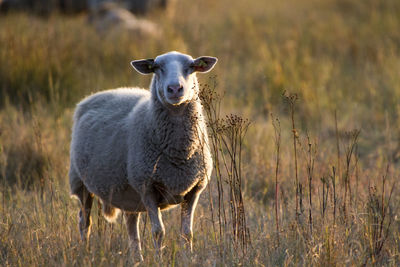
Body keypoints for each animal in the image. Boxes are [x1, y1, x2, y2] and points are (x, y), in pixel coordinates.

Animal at [69, 51, 219, 260]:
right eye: (157, 67)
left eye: (191, 67)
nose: (174, 88)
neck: (178, 155)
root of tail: (93, 96)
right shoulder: (147, 187)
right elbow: (158, 232)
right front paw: (159, 260)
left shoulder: (194, 189)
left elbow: (187, 233)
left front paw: (187, 258)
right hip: (80, 182)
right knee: (84, 222)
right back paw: (86, 251)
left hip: (128, 192)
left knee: (132, 227)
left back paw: (137, 260)